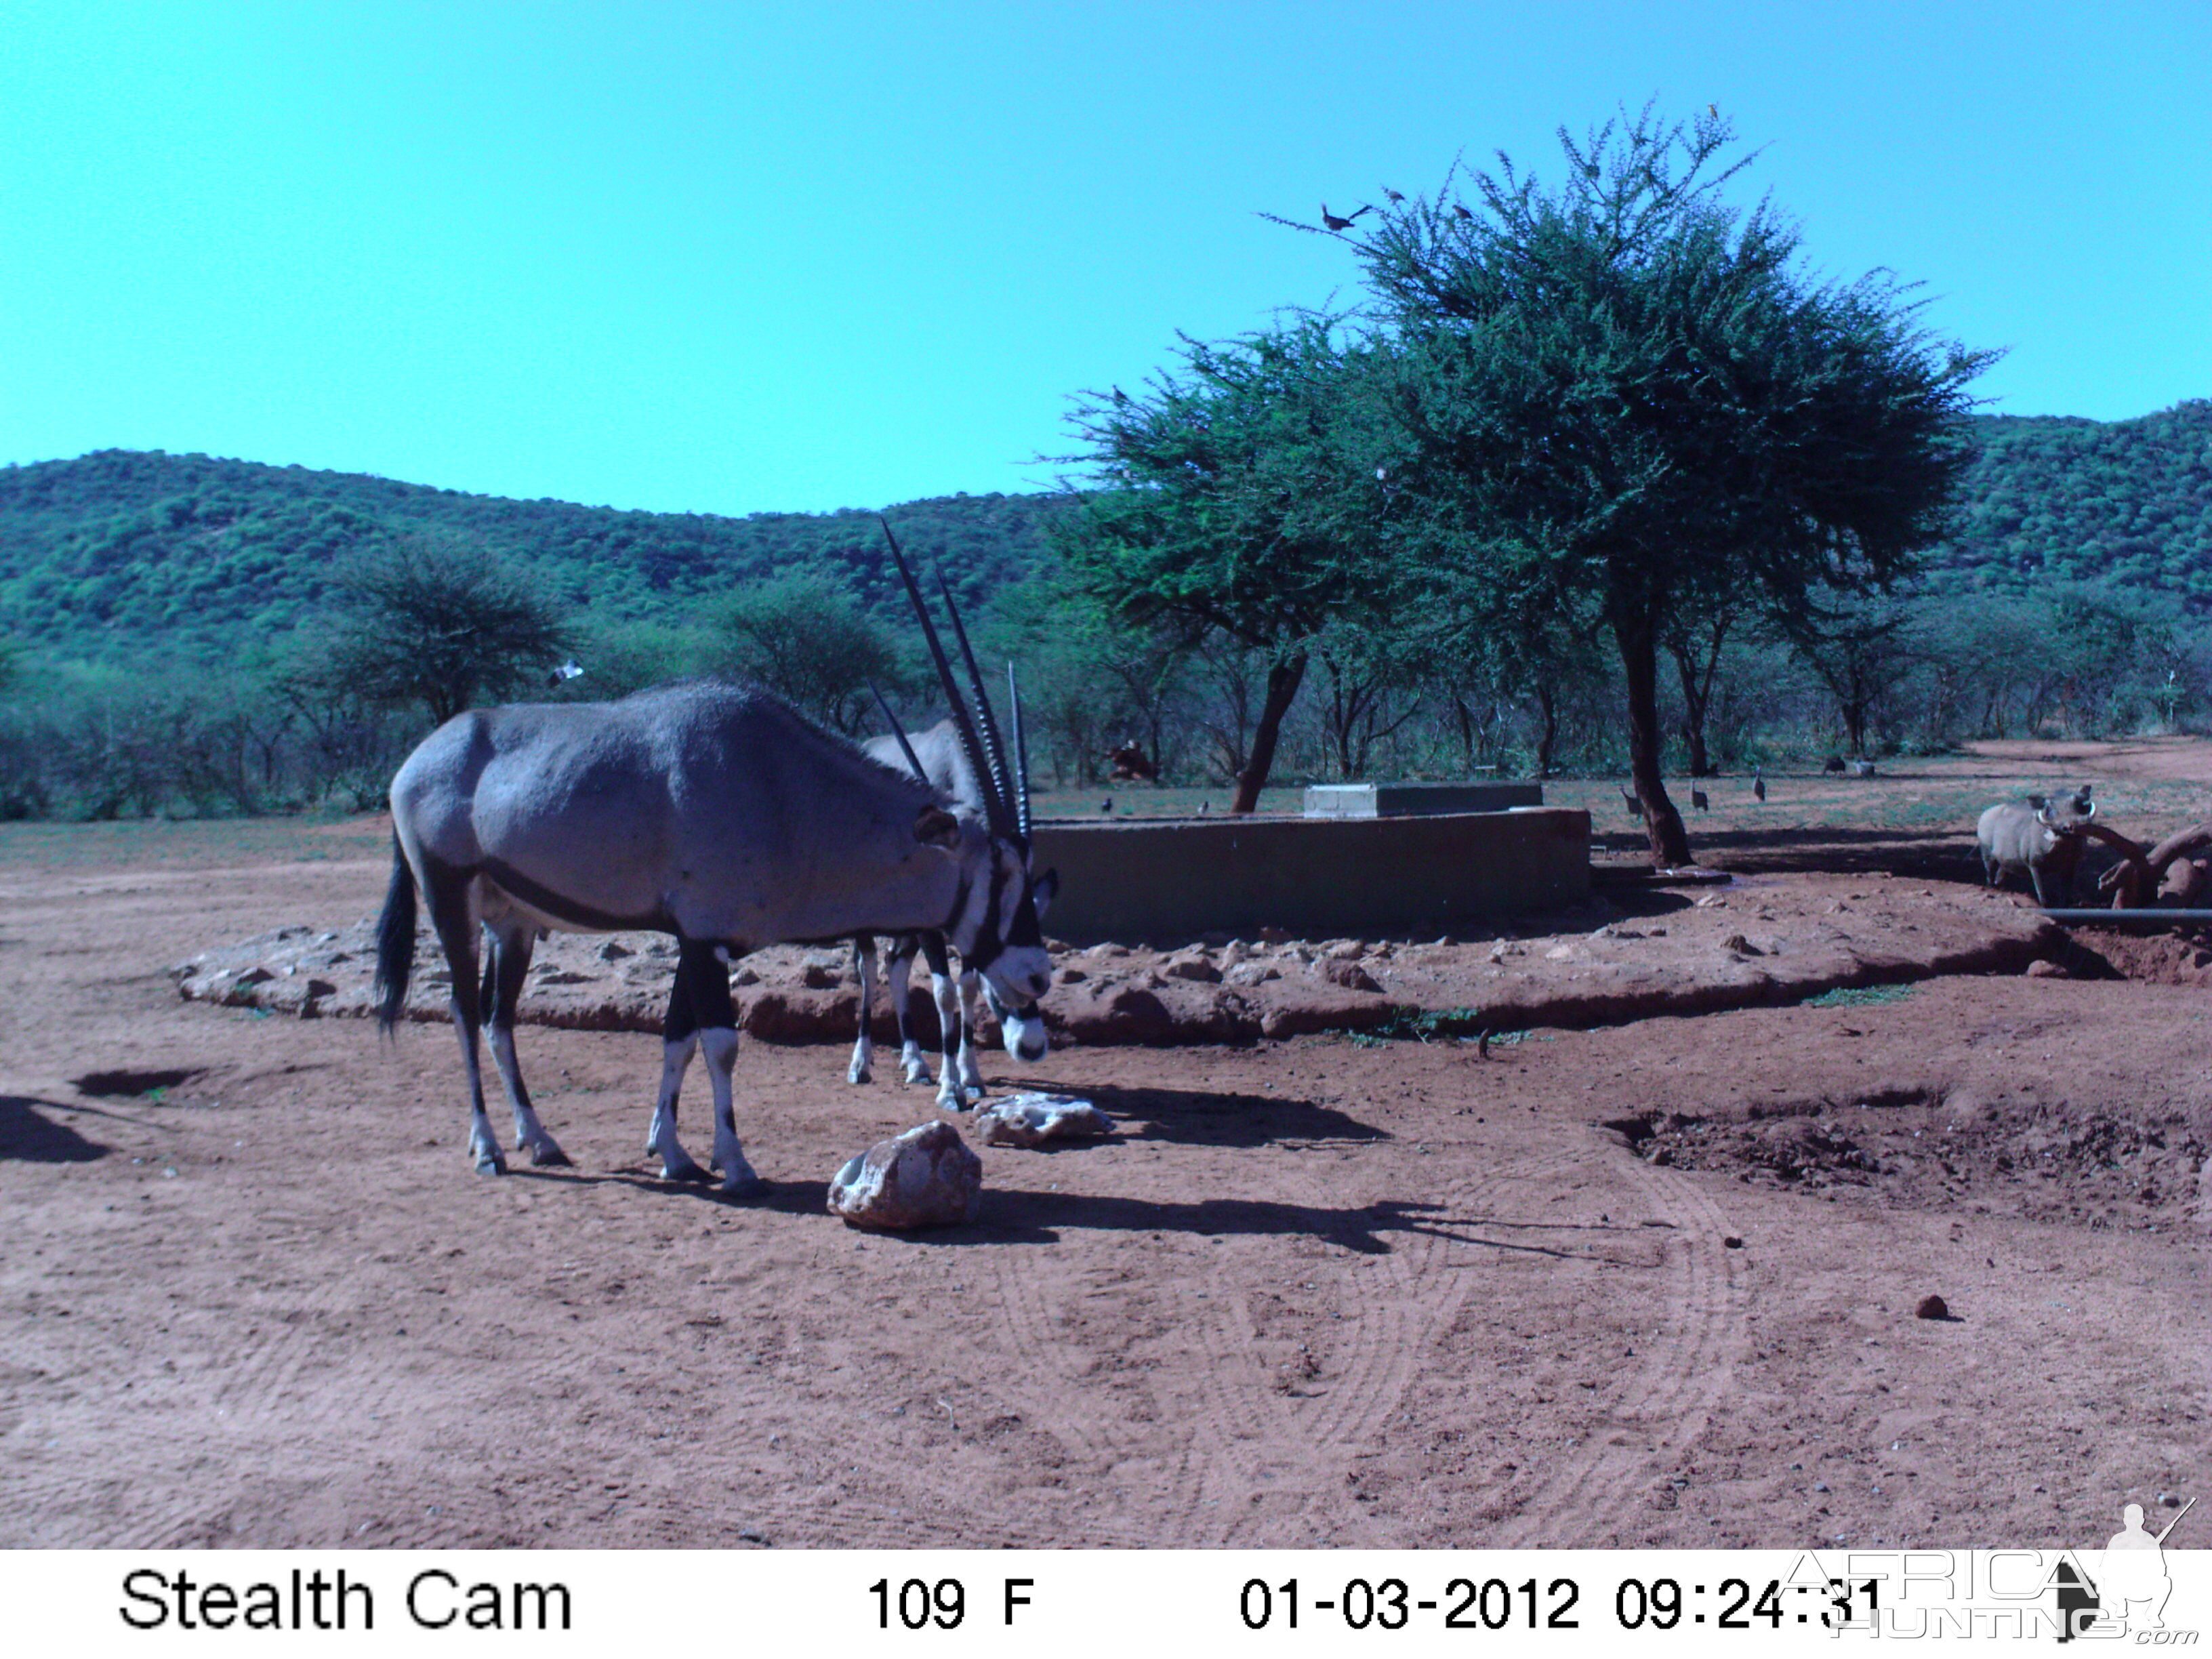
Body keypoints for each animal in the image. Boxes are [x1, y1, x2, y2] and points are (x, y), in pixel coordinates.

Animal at [844, 708, 1052, 1110]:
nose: (1032, 1048)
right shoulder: (935, 927)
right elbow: (944, 992)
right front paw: (950, 1088)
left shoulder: (973, 929)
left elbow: (967, 987)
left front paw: (970, 1078)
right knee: (870, 965)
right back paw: (861, 1063)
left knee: (896, 965)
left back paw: (915, 1063)